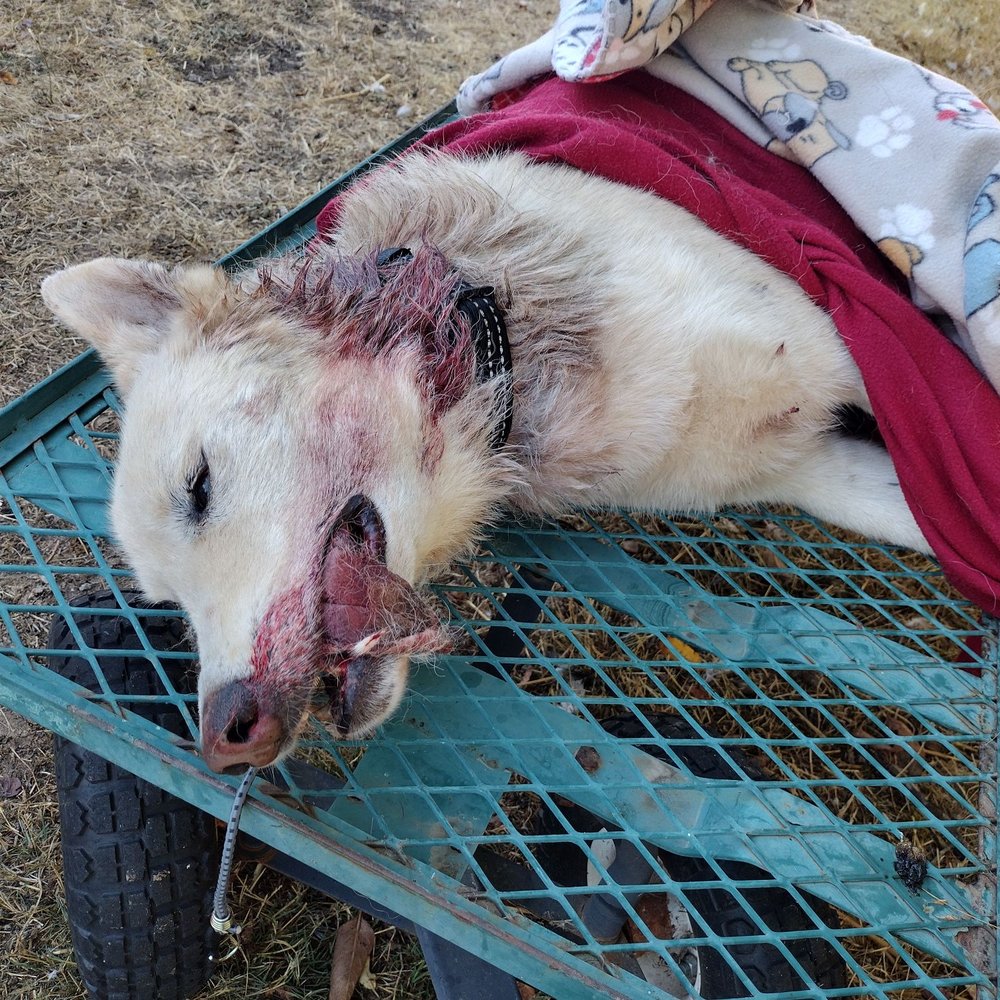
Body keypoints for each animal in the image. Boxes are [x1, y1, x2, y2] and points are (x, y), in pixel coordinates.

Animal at [41, 93, 932, 773]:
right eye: (167, 603)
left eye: (198, 487)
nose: (225, 739)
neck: (490, 334)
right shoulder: (812, 469)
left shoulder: (853, 356)